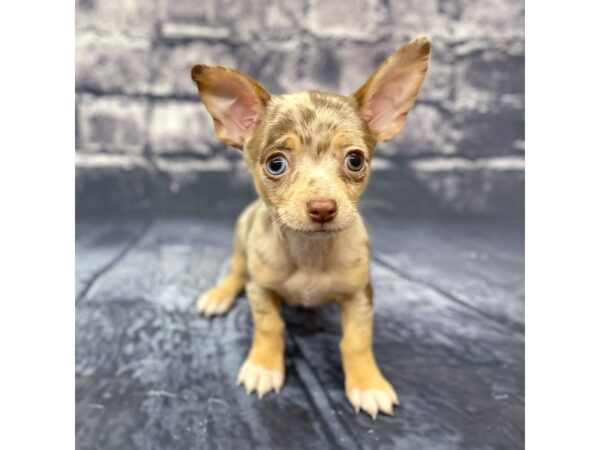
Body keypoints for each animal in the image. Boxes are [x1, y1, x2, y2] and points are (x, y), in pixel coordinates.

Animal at [192, 35, 432, 418]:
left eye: (355, 160)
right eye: (276, 164)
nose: (323, 208)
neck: (310, 253)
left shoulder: (360, 296)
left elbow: (357, 341)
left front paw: (368, 383)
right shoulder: (261, 290)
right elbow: (270, 326)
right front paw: (264, 366)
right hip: (241, 243)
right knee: (236, 271)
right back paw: (219, 295)